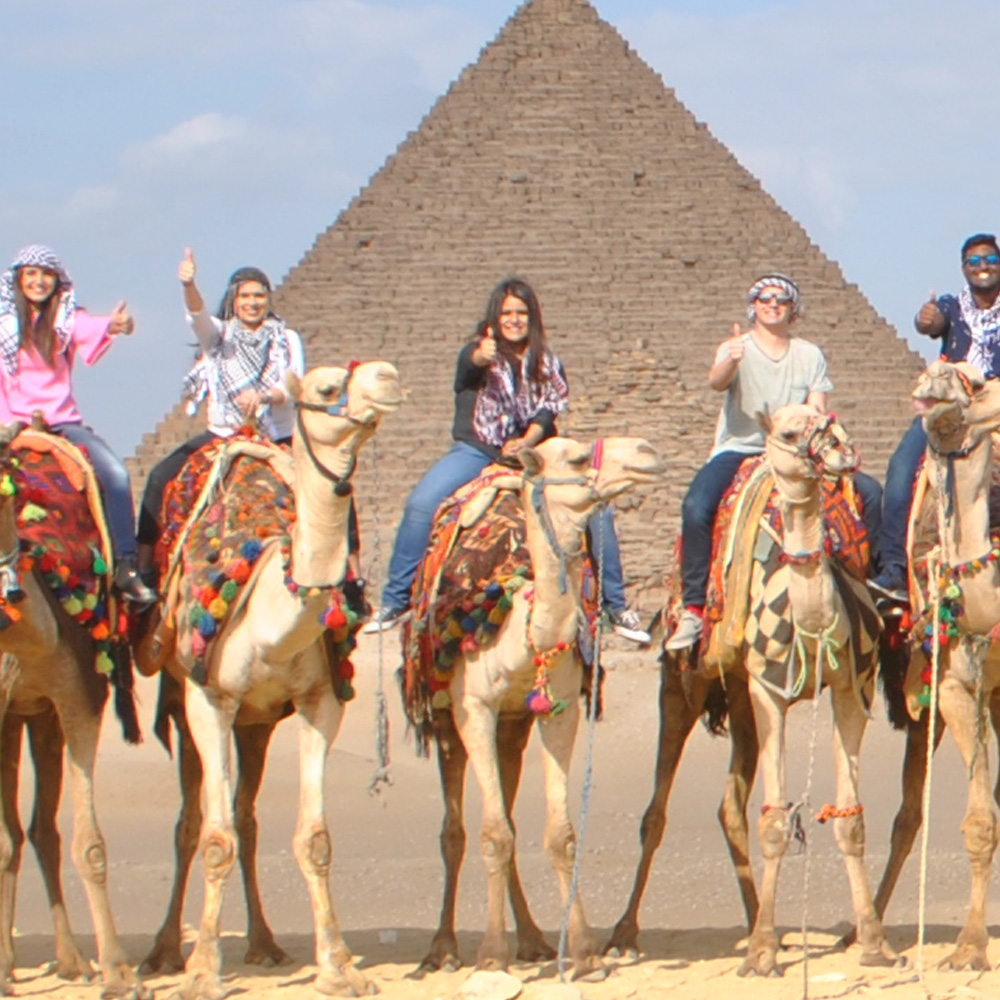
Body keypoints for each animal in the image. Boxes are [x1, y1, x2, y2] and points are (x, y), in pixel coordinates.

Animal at [0, 426, 146, 996]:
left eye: (6, 492)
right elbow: (2, 843)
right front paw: (3, 973)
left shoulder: (81, 699)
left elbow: (90, 844)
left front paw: (118, 972)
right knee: (25, 833)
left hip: (40, 716)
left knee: (44, 830)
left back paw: (72, 960)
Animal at [158, 362, 400, 1000]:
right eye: (324, 387)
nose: (389, 377)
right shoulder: (209, 699)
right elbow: (215, 839)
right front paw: (203, 972)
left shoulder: (320, 700)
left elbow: (314, 838)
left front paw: (337, 967)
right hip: (180, 697)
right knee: (191, 822)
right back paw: (163, 952)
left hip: (258, 723)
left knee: (246, 815)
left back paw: (265, 944)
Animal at [402, 436, 660, 976]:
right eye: (578, 458)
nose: (646, 450)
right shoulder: (474, 708)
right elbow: (491, 834)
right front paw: (491, 954)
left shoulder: (556, 709)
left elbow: (559, 834)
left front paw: (582, 952)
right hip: (444, 714)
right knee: (456, 830)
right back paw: (444, 949)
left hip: (514, 727)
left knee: (511, 815)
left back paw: (534, 940)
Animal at [600, 402, 892, 972]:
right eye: (790, 431)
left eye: (830, 419)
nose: (843, 451)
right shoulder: (769, 694)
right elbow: (776, 822)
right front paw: (759, 954)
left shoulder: (853, 690)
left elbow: (851, 821)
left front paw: (871, 941)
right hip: (684, 683)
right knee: (656, 813)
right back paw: (625, 932)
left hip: (737, 696)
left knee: (729, 807)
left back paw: (763, 920)